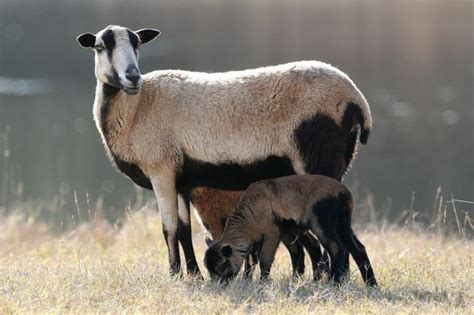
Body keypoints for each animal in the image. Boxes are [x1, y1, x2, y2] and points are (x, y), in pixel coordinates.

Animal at [78, 25, 372, 278]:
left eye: (138, 44)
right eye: (100, 46)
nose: (132, 77)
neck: (138, 108)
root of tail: (357, 101)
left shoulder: (161, 169)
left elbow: (168, 229)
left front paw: (174, 274)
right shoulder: (181, 179)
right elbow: (184, 230)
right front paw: (194, 275)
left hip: (319, 161)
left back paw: (334, 280)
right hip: (339, 160)